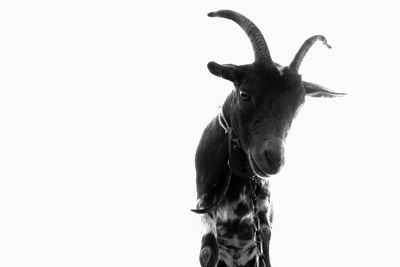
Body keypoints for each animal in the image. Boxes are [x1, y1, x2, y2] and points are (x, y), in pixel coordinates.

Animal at [193, 9, 344, 266]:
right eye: (244, 94)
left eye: (299, 105)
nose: (273, 159)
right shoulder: (205, 203)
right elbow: (208, 251)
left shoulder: (263, 214)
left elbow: (266, 250)